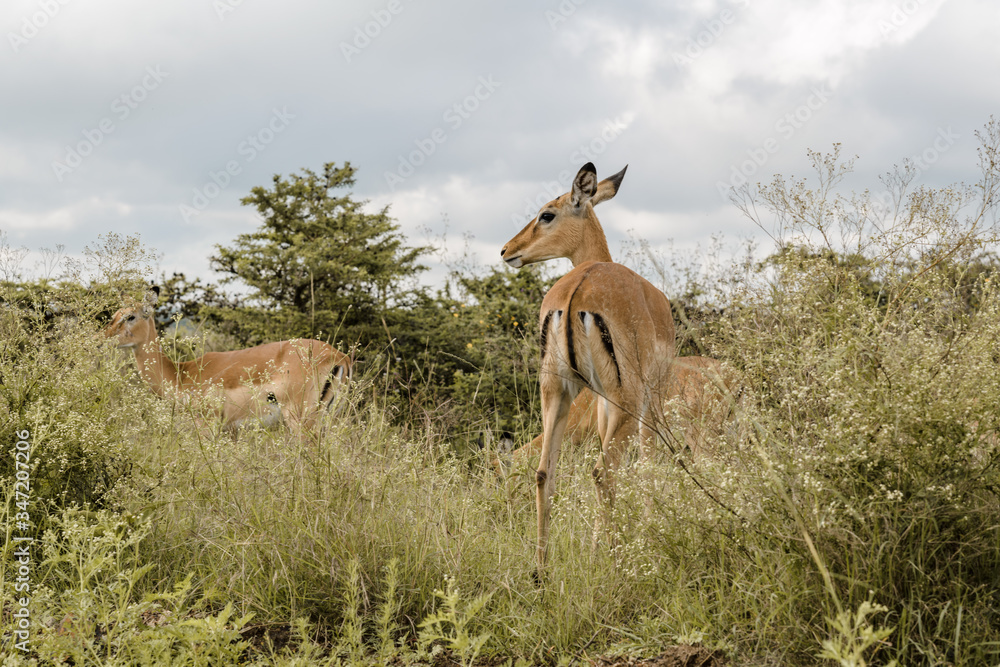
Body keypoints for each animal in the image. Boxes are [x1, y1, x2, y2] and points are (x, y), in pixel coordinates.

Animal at [104, 290, 351, 431]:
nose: (102, 338)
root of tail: (339, 357)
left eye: (130, 316)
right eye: (114, 315)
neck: (181, 375)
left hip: (300, 419)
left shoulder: (208, 425)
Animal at [501, 162, 676, 568]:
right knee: (602, 472)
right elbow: (648, 466)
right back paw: (610, 562)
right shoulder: (649, 400)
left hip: (556, 392)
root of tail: (577, 289)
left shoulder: (601, 403)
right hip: (627, 399)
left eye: (546, 214)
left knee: (544, 472)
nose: (506, 250)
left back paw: (542, 569)